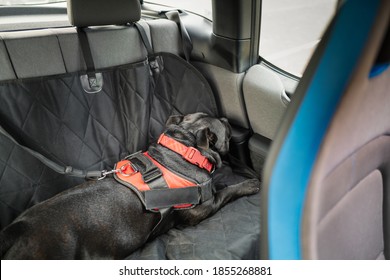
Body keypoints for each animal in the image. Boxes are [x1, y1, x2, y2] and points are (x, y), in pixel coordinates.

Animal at [1, 112, 260, 260]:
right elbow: (227, 192)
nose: (227, 118)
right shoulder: (202, 209)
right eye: (224, 128)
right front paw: (250, 184)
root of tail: (16, 231)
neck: (184, 148)